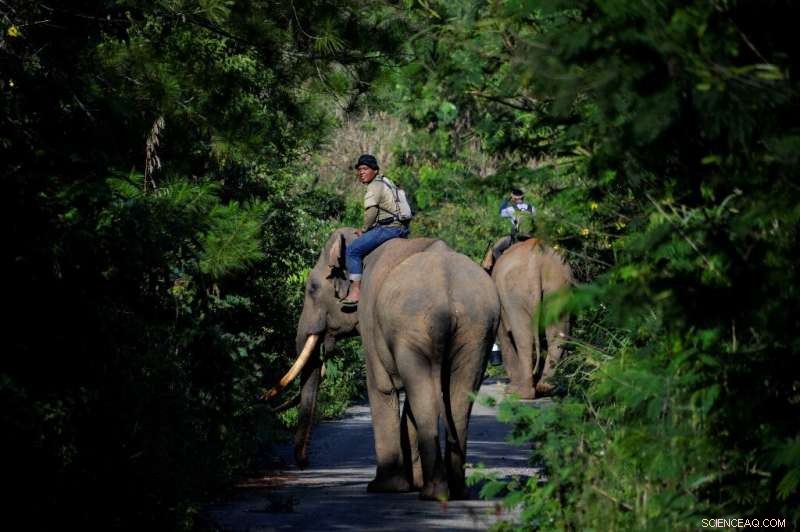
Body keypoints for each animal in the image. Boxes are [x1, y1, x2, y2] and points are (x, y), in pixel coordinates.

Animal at [265, 228, 500, 500]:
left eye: (312, 288)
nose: (304, 463)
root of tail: (446, 289)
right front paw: (412, 482)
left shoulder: (368, 316)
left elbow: (381, 386)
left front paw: (384, 487)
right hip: (478, 330)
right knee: (458, 398)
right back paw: (456, 490)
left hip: (413, 330)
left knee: (427, 398)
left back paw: (433, 493)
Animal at [481, 238, 572, 399]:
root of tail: (535, 263)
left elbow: (504, 336)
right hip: (559, 286)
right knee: (557, 333)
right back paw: (546, 388)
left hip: (515, 294)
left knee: (523, 337)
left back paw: (520, 393)